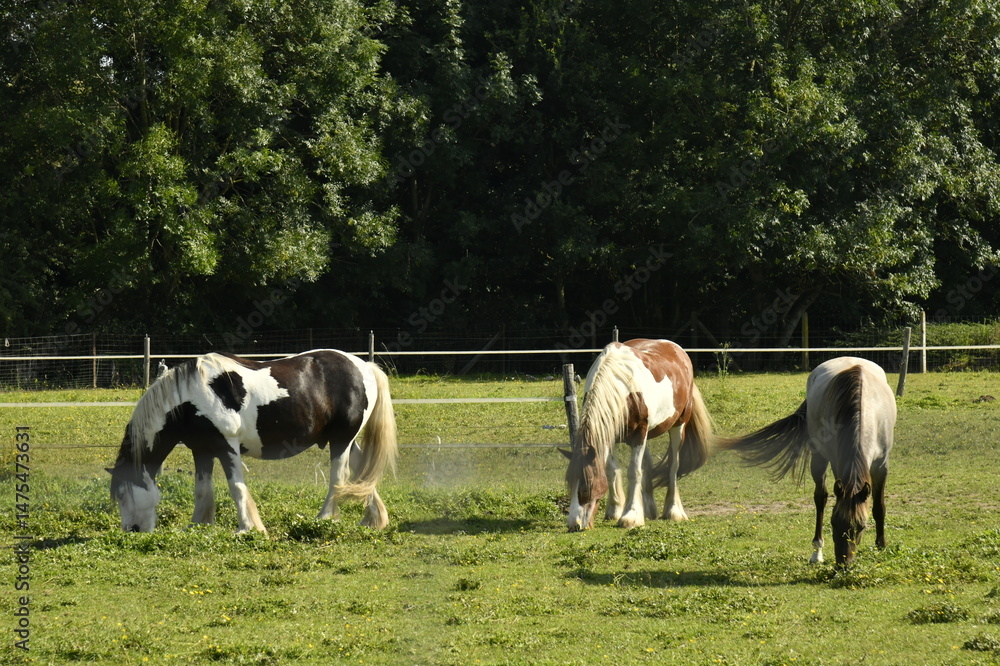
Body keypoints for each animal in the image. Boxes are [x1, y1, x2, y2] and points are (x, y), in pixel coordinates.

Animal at [109, 349, 398, 533]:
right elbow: (202, 490)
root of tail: (365, 367)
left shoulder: (227, 447)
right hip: (346, 439)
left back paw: (325, 518)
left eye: (122, 493)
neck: (192, 397)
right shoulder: (202, 450)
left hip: (340, 440)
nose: (132, 530)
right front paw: (198, 525)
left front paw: (248, 528)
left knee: (339, 477)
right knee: (362, 473)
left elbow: (236, 488)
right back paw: (373, 519)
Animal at [561, 339, 714, 531]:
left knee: (673, 467)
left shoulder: (639, 433)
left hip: (678, 425)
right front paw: (615, 510)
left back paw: (673, 511)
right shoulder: (609, 434)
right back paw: (648, 510)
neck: (622, 389)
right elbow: (612, 470)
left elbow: (634, 472)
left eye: (586, 486)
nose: (574, 524)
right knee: (647, 465)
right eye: (569, 483)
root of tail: (677, 349)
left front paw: (630, 516)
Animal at [720, 356, 896, 567]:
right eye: (834, 522)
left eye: (860, 526)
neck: (862, 411)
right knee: (820, 498)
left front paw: (881, 545)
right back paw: (816, 552)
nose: (843, 565)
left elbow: (879, 506)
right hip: (819, 458)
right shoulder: (837, 462)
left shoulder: (881, 465)